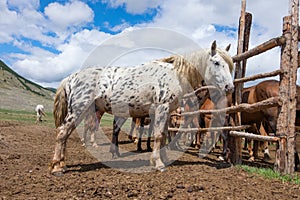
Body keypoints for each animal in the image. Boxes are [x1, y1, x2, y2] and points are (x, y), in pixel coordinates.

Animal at [50, 40, 234, 175]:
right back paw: (57, 167)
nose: (229, 87)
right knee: (62, 133)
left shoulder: (166, 113)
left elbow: (163, 136)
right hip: (78, 110)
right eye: (216, 63)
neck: (174, 75)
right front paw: (158, 163)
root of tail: (71, 78)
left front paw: (163, 158)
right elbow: (158, 136)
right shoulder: (161, 108)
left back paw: (62, 164)